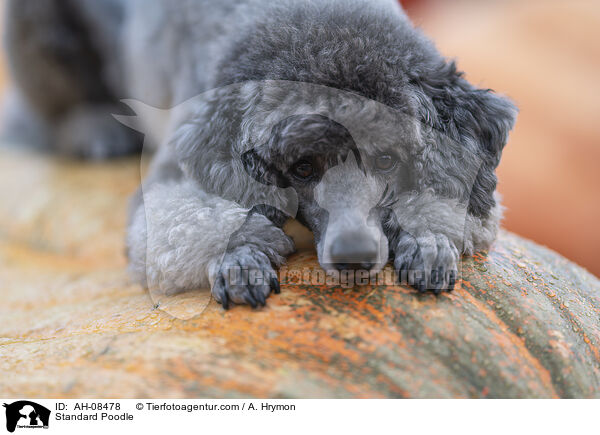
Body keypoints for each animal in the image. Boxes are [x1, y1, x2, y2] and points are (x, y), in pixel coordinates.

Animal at [3, 0, 516, 308]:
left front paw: (427, 242)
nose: (354, 255)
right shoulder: (180, 164)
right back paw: (93, 129)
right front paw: (241, 258)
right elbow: (194, 218)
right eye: (302, 167)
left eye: (387, 160)